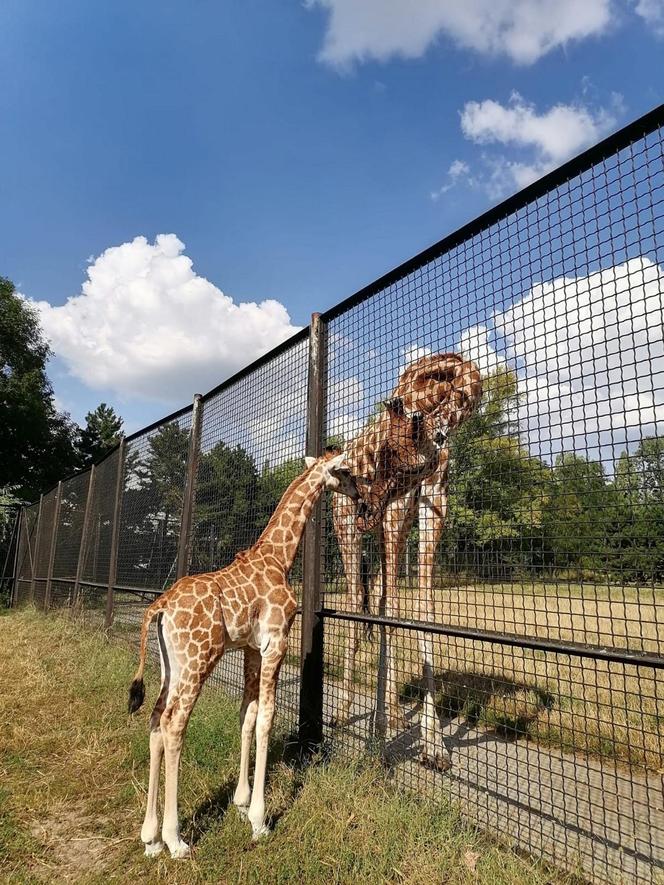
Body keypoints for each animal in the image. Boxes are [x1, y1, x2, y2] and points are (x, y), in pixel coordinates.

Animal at [127, 448, 360, 856]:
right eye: (345, 471)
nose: (360, 494)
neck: (280, 557)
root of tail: (160, 606)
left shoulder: (252, 648)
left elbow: (246, 716)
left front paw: (240, 803)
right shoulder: (277, 642)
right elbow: (267, 716)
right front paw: (259, 820)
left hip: (172, 665)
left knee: (156, 720)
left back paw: (151, 838)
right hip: (198, 660)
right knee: (174, 724)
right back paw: (175, 840)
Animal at [332, 352, 482, 768]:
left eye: (408, 466)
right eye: (381, 456)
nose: (365, 509)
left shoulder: (433, 501)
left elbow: (422, 609)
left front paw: (435, 747)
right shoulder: (395, 511)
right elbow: (391, 611)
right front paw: (378, 737)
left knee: (379, 596)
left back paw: (397, 715)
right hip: (348, 533)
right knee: (357, 602)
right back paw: (342, 712)